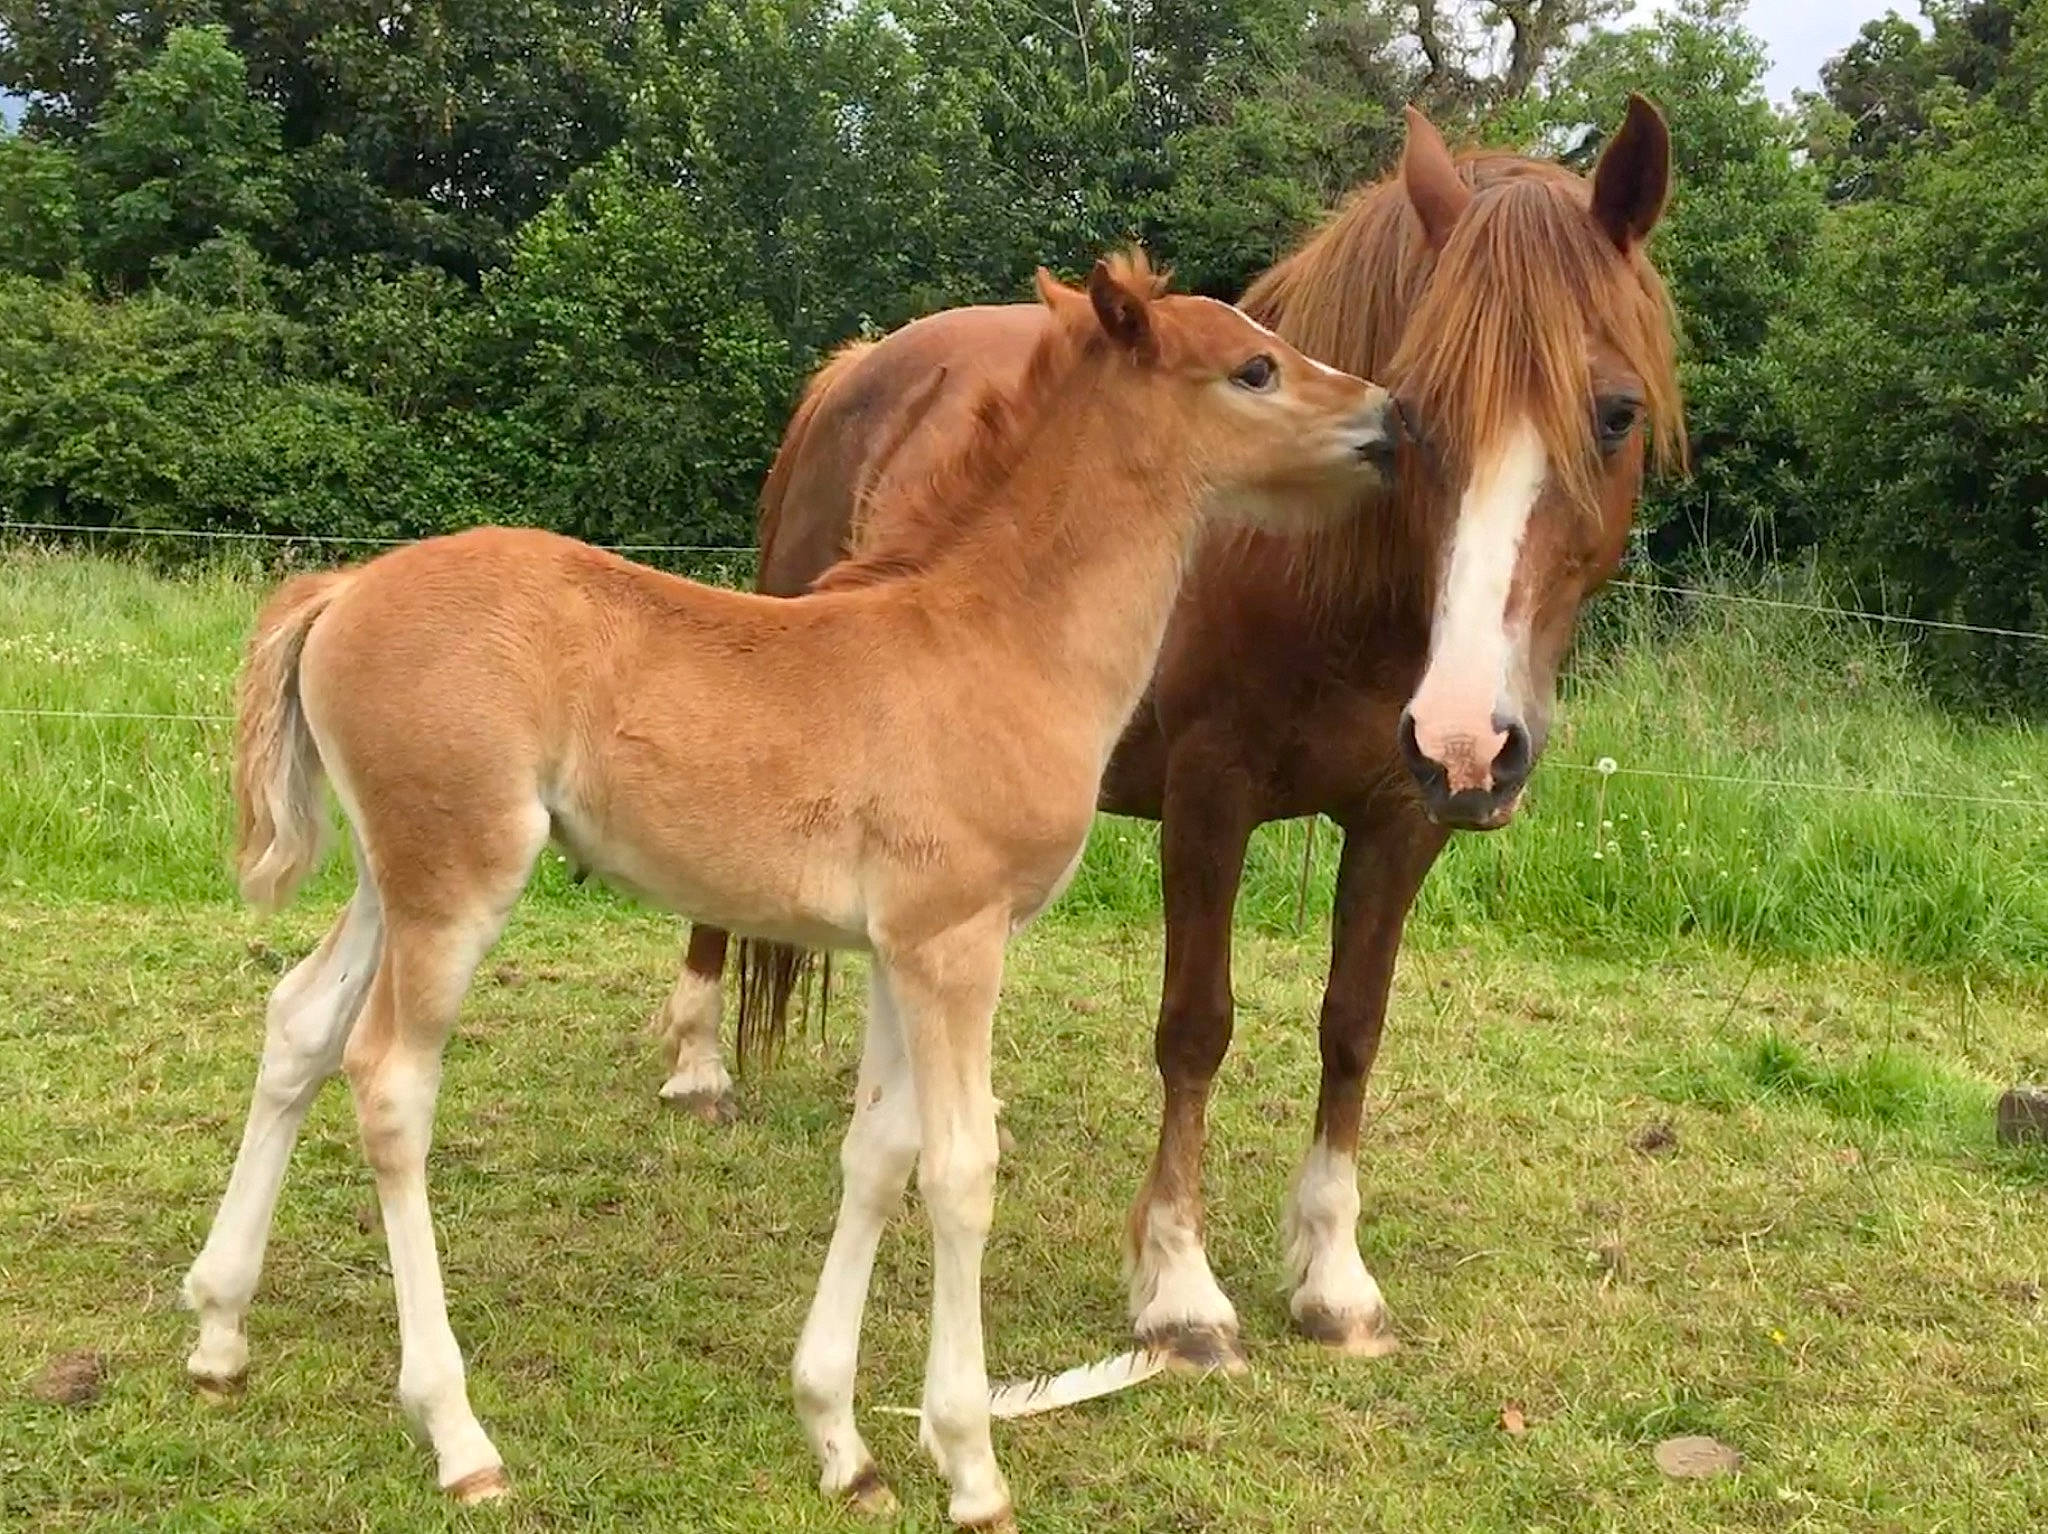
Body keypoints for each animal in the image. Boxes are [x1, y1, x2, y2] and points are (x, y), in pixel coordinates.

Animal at [180, 253, 1401, 1528]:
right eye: (1254, 367)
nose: (1390, 421)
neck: (994, 642)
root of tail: (344, 588)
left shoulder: (896, 948)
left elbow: (878, 1154)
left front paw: (841, 1439)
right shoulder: (955, 942)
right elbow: (959, 1169)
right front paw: (969, 1462)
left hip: (395, 873)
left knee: (299, 1023)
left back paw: (218, 1333)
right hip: (459, 878)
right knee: (387, 1080)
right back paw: (458, 1433)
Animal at [654, 98, 1684, 1372]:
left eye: (1615, 413)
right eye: (1417, 416)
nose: (1466, 739)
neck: (1304, 568)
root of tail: (859, 368)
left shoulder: (1402, 816)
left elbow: (1352, 1024)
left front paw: (1332, 1277)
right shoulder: (1209, 794)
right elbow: (1197, 1027)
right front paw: (1180, 1289)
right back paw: (698, 1067)